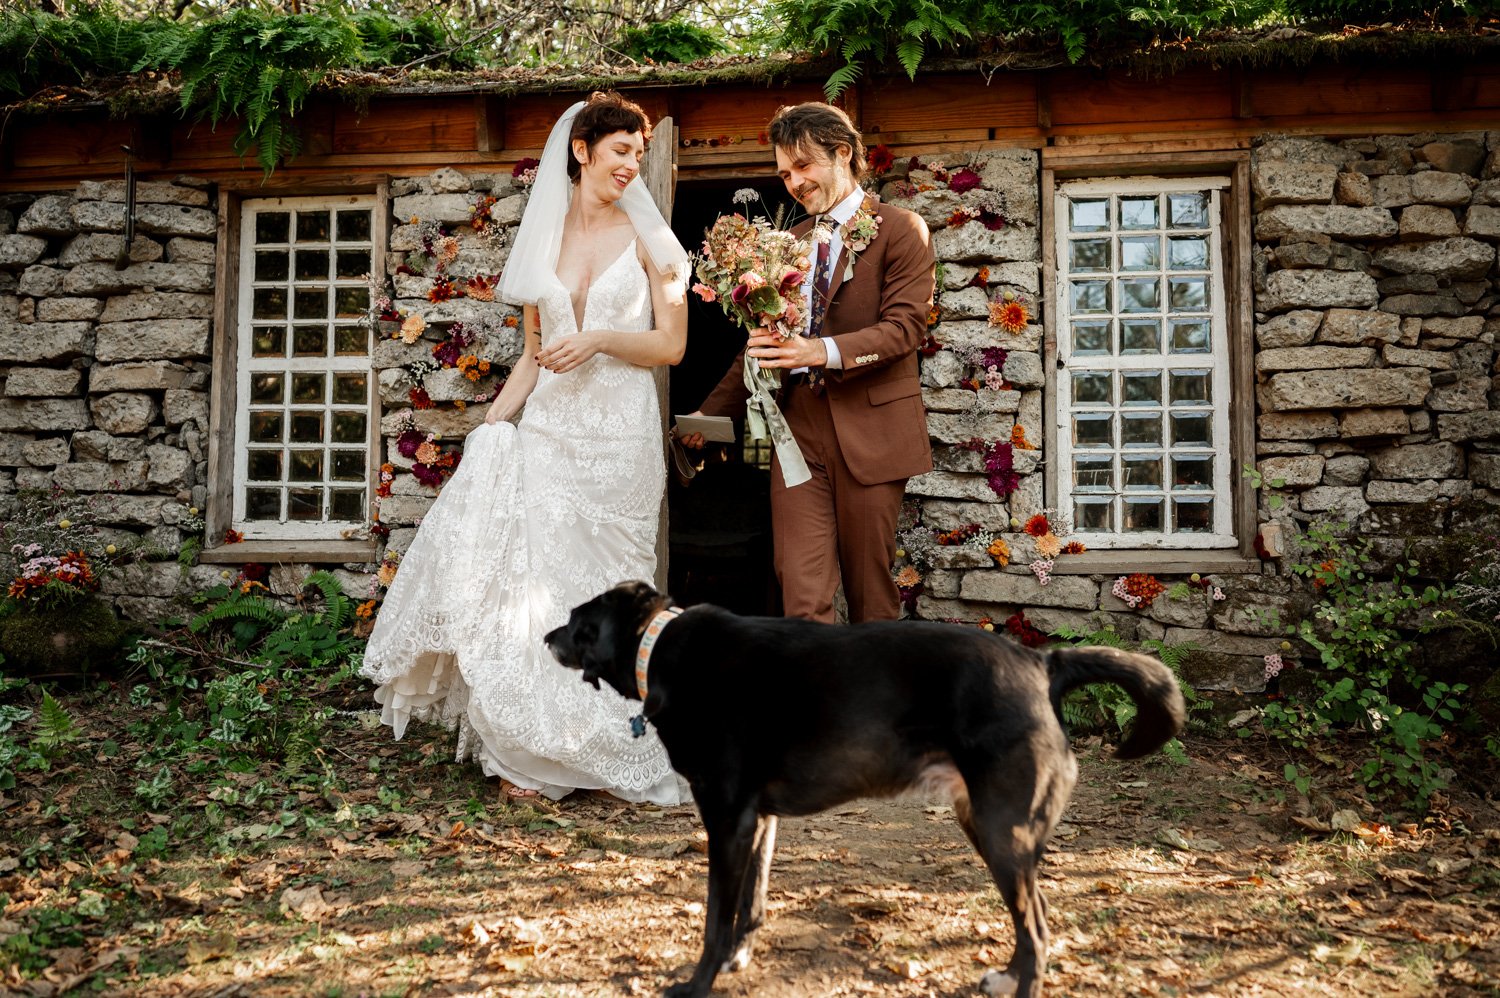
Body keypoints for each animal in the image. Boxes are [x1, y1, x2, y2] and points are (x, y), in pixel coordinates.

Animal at [546, 579, 1188, 990]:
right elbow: (751, 903)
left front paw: (698, 983)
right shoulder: (758, 821)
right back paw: (1007, 977)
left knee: (1038, 929)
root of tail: (1041, 663)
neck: (657, 646)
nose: (546, 637)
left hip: (1002, 830)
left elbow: (715, 917)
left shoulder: (725, 817)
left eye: (577, 623)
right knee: (1039, 925)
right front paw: (737, 959)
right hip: (988, 826)